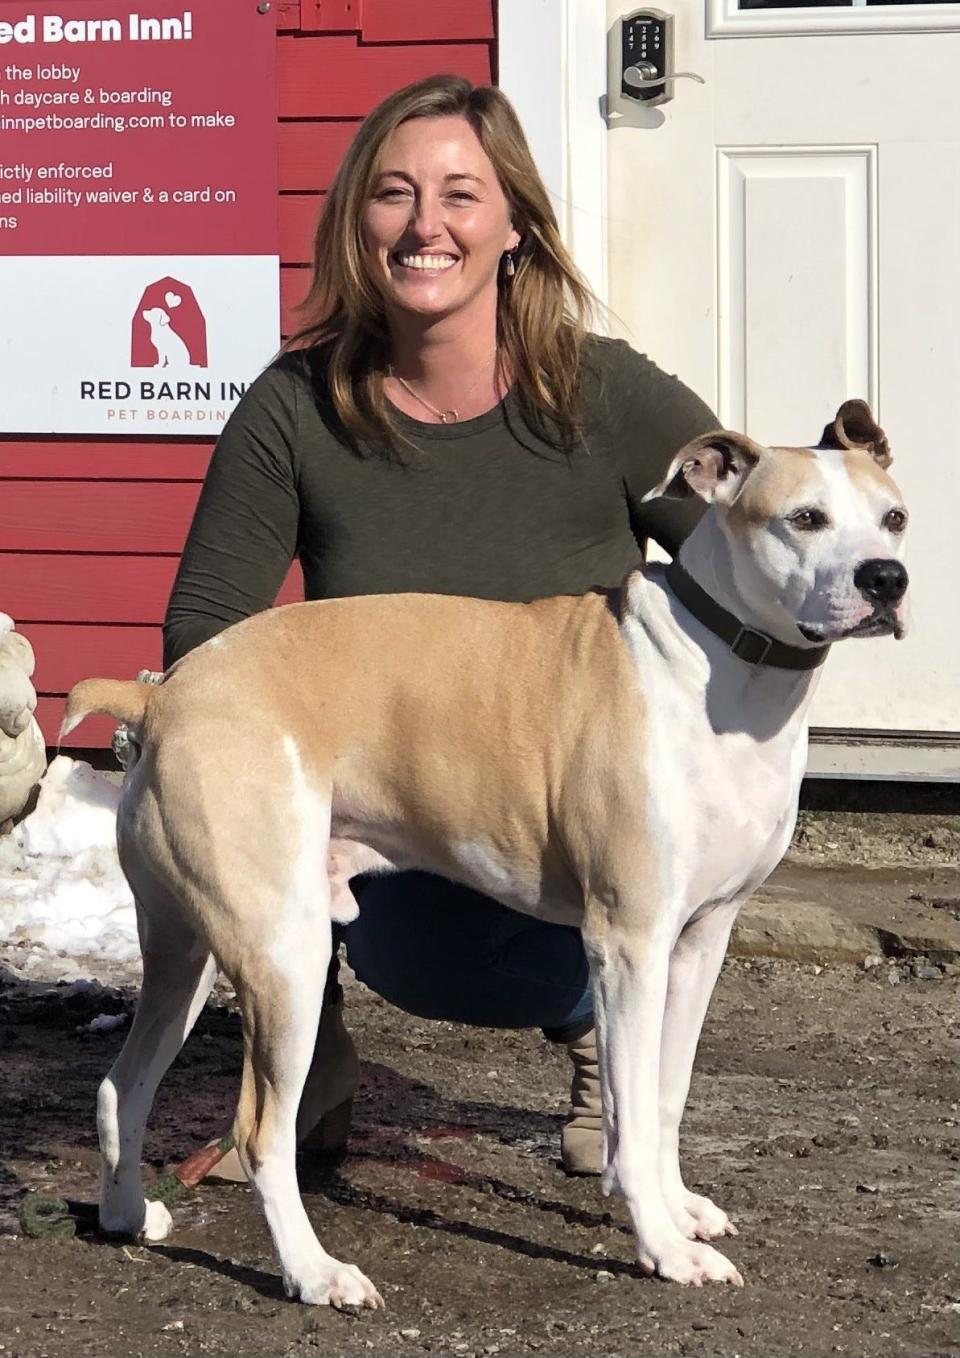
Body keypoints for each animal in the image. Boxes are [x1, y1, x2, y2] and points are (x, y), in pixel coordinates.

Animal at [65, 399, 907, 1303]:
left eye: (894, 517)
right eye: (805, 519)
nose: (886, 580)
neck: (723, 667)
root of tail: (165, 696)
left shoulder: (701, 940)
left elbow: (666, 1092)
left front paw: (681, 1208)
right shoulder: (629, 944)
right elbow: (633, 1104)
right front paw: (663, 1245)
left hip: (190, 952)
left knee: (121, 1087)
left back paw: (128, 1217)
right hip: (281, 953)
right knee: (260, 1132)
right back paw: (317, 1274)